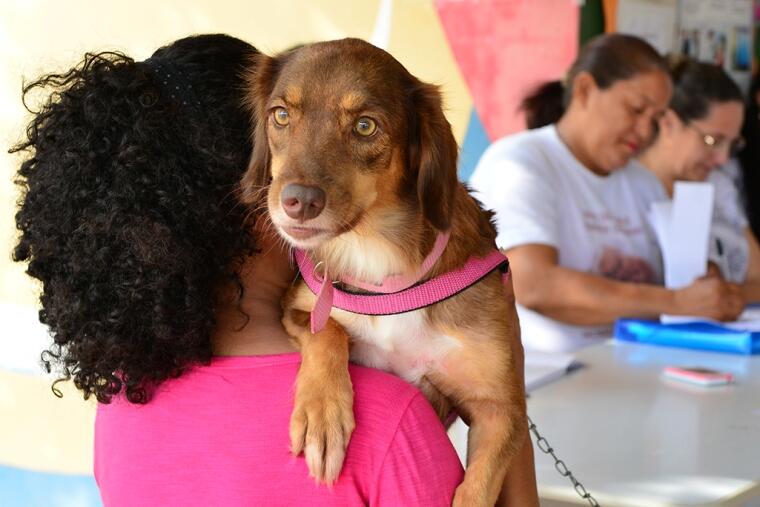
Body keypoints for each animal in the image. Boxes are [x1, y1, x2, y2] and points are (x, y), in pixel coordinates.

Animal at [243, 40, 528, 507]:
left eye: (364, 126)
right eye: (281, 115)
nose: (297, 202)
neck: (377, 259)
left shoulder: (501, 411)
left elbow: (477, 488)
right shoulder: (298, 307)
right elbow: (328, 332)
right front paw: (323, 412)